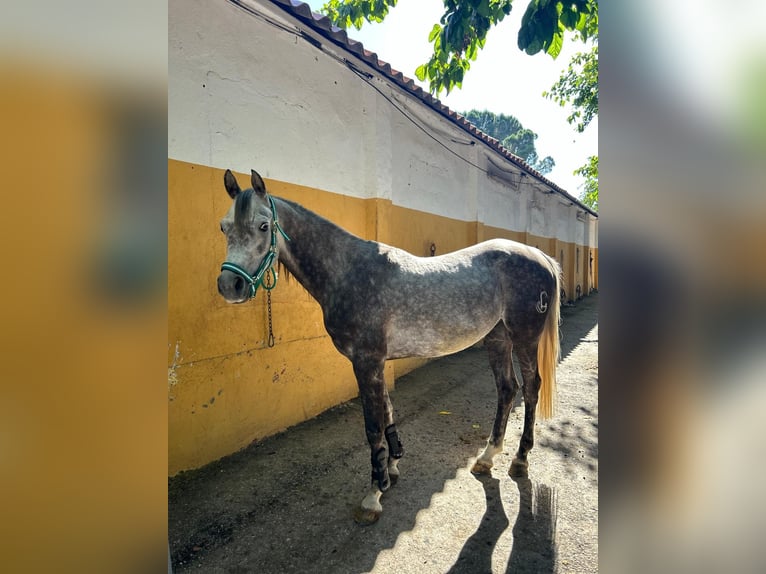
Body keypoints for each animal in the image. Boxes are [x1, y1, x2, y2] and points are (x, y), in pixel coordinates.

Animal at [218, 169, 564, 524]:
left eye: (263, 226)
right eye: (224, 227)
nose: (230, 285)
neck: (349, 272)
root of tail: (540, 257)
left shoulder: (366, 361)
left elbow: (373, 426)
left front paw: (374, 493)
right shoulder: (377, 362)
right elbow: (386, 411)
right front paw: (393, 467)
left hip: (524, 338)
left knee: (530, 388)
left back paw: (519, 460)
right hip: (497, 338)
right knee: (507, 389)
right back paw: (487, 457)